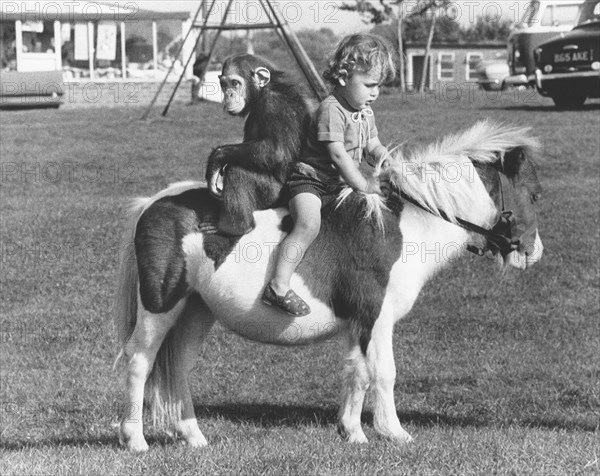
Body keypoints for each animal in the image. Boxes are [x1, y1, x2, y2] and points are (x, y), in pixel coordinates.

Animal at [112, 119, 544, 450]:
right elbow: (383, 372)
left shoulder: (357, 324)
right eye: (536, 194)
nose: (534, 251)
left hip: (196, 310)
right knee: (139, 361)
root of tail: (155, 202)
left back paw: (194, 437)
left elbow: (357, 372)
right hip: (161, 307)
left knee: (179, 367)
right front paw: (394, 432)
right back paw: (135, 440)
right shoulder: (375, 316)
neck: (402, 227)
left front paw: (353, 433)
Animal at [205, 54, 312, 236]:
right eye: (224, 84)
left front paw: (216, 158)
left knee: (237, 170)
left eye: (235, 83)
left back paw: (234, 227)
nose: (229, 94)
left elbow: (276, 151)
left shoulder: (274, 103)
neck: (262, 92)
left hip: (273, 195)